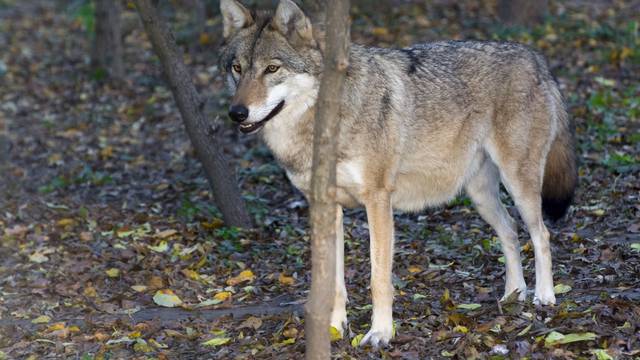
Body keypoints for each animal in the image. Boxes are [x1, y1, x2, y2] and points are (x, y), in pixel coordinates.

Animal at [218, 0, 576, 348]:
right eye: (237, 68)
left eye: (272, 69)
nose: (237, 113)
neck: (325, 125)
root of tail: (535, 57)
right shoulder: (326, 207)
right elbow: (334, 283)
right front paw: (334, 329)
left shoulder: (378, 201)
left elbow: (379, 279)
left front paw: (380, 333)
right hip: (481, 197)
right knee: (510, 231)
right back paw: (514, 293)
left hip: (518, 184)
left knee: (541, 234)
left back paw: (544, 296)